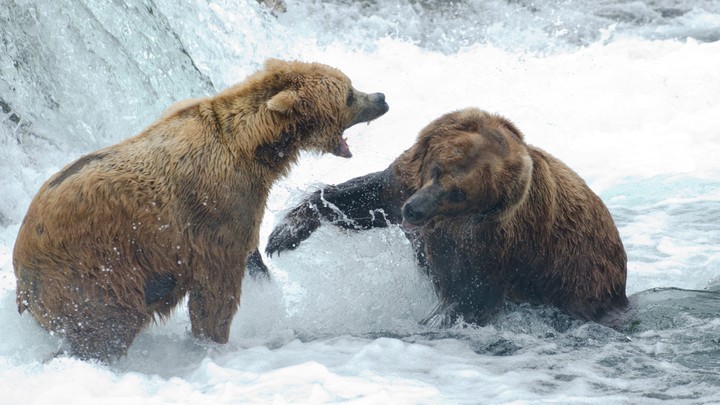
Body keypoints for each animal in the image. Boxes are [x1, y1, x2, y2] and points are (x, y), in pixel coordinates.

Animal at [12, 57, 388, 360]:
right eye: (349, 93)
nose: (381, 97)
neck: (254, 149)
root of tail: (22, 269)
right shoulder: (214, 208)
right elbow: (216, 288)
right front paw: (215, 339)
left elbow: (248, 257)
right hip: (94, 271)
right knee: (104, 328)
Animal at [266, 108, 632, 328]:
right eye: (438, 169)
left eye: (459, 193)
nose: (414, 210)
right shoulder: (403, 184)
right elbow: (362, 199)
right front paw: (284, 233)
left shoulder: (491, 242)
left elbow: (470, 296)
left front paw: (430, 322)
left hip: (575, 273)